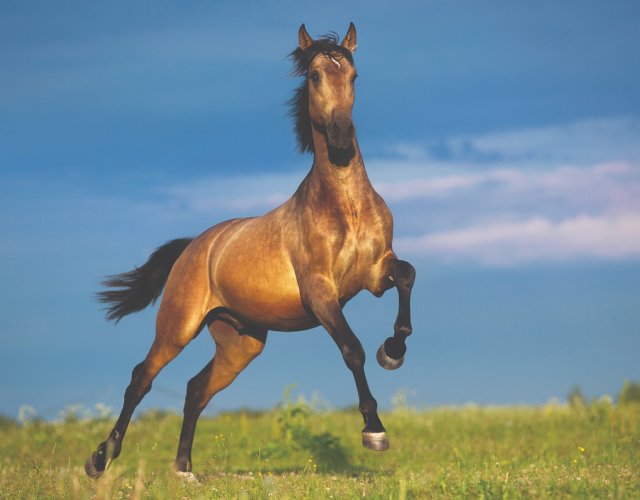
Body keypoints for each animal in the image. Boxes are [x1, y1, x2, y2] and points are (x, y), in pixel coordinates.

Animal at [84, 23, 416, 480]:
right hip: (177, 327)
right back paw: (100, 459)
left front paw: (394, 352)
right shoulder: (320, 294)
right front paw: (374, 431)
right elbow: (352, 349)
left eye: (353, 75)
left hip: (240, 342)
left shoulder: (375, 273)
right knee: (141, 379)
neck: (345, 205)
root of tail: (195, 246)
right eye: (314, 75)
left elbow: (407, 276)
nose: (341, 138)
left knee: (195, 389)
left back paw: (184, 469)